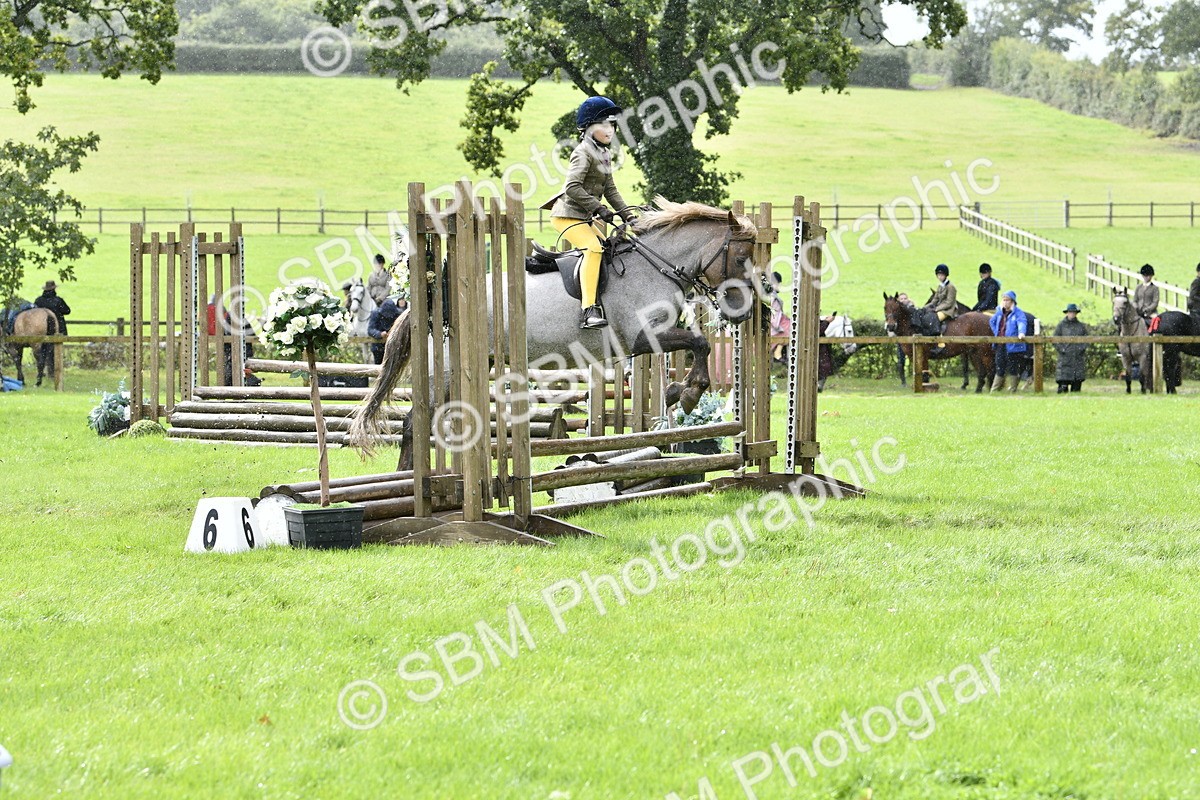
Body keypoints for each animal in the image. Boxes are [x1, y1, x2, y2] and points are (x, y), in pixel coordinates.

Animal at [350, 199, 764, 468]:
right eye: (741, 258)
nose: (745, 312)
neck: (654, 266)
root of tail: (433, 304)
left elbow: (699, 345)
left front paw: (681, 392)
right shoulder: (643, 337)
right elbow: (700, 342)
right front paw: (688, 393)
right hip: (449, 370)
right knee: (413, 423)